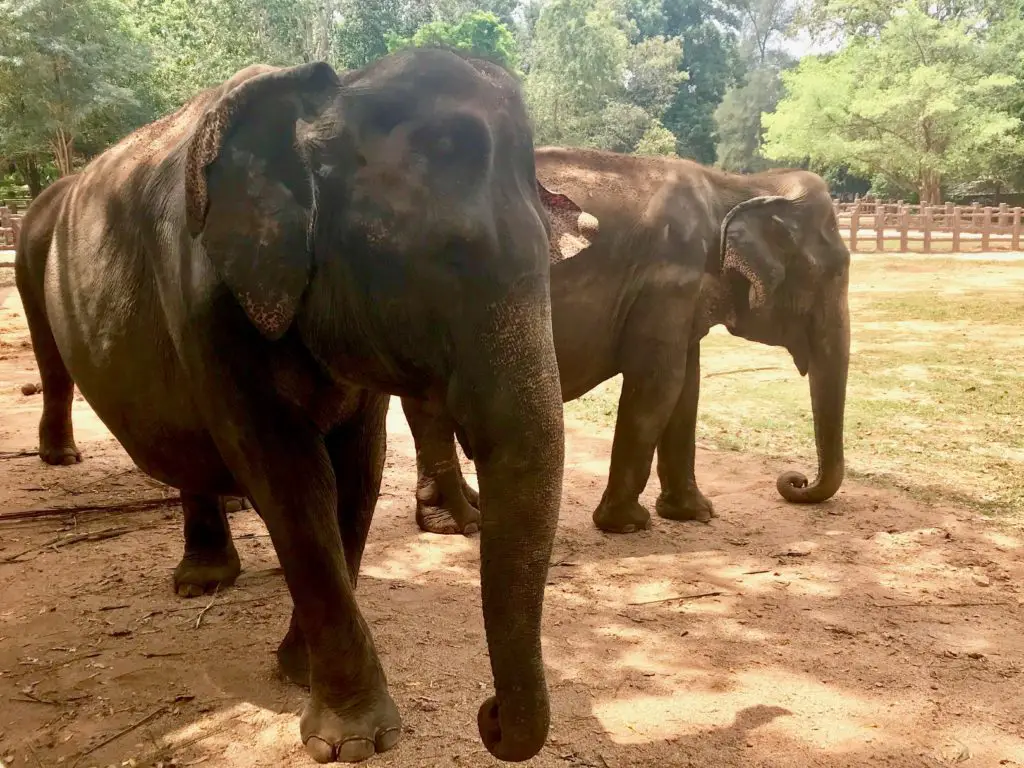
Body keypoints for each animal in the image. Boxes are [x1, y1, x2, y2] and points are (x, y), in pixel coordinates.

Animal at [14, 51, 593, 765]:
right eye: (445, 258)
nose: (487, 717)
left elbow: (358, 470)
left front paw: (297, 671)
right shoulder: (208, 305)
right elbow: (292, 477)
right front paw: (352, 738)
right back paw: (189, 571)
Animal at [395, 147, 851, 536]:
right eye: (835, 272)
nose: (794, 480)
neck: (736, 185)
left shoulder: (681, 297)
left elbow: (687, 389)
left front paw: (694, 514)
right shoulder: (667, 279)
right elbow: (659, 384)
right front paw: (628, 523)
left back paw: (453, 517)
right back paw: (462, 523)